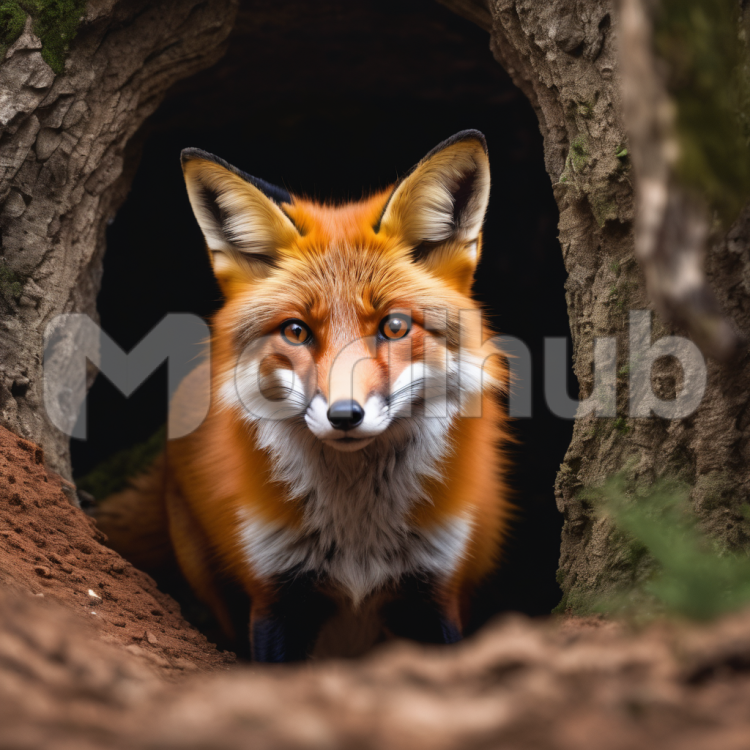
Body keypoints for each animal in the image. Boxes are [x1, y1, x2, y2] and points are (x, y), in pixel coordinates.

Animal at [94, 130, 512, 662]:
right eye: (296, 331)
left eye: (395, 326)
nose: (345, 415)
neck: (358, 537)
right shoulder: (277, 596)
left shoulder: (433, 590)